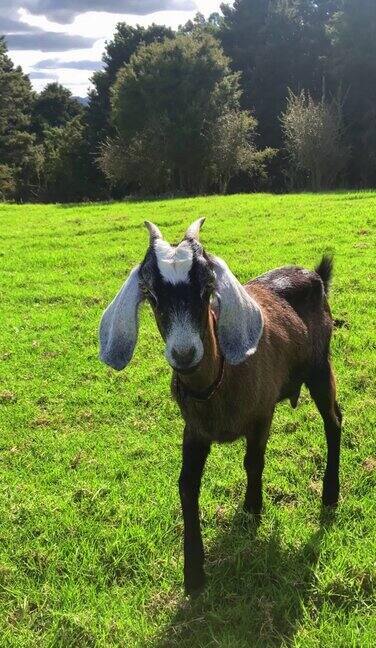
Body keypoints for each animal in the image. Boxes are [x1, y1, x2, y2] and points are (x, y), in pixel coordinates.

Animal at [98, 220, 342, 596]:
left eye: (207, 287)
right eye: (151, 294)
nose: (184, 353)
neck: (215, 386)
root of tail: (314, 274)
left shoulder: (262, 414)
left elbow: (253, 462)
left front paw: (252, 510)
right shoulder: (194, 430)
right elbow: (186, 484)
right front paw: (194, 574)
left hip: (319, 367)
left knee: (333, 421)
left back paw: (330, 495)